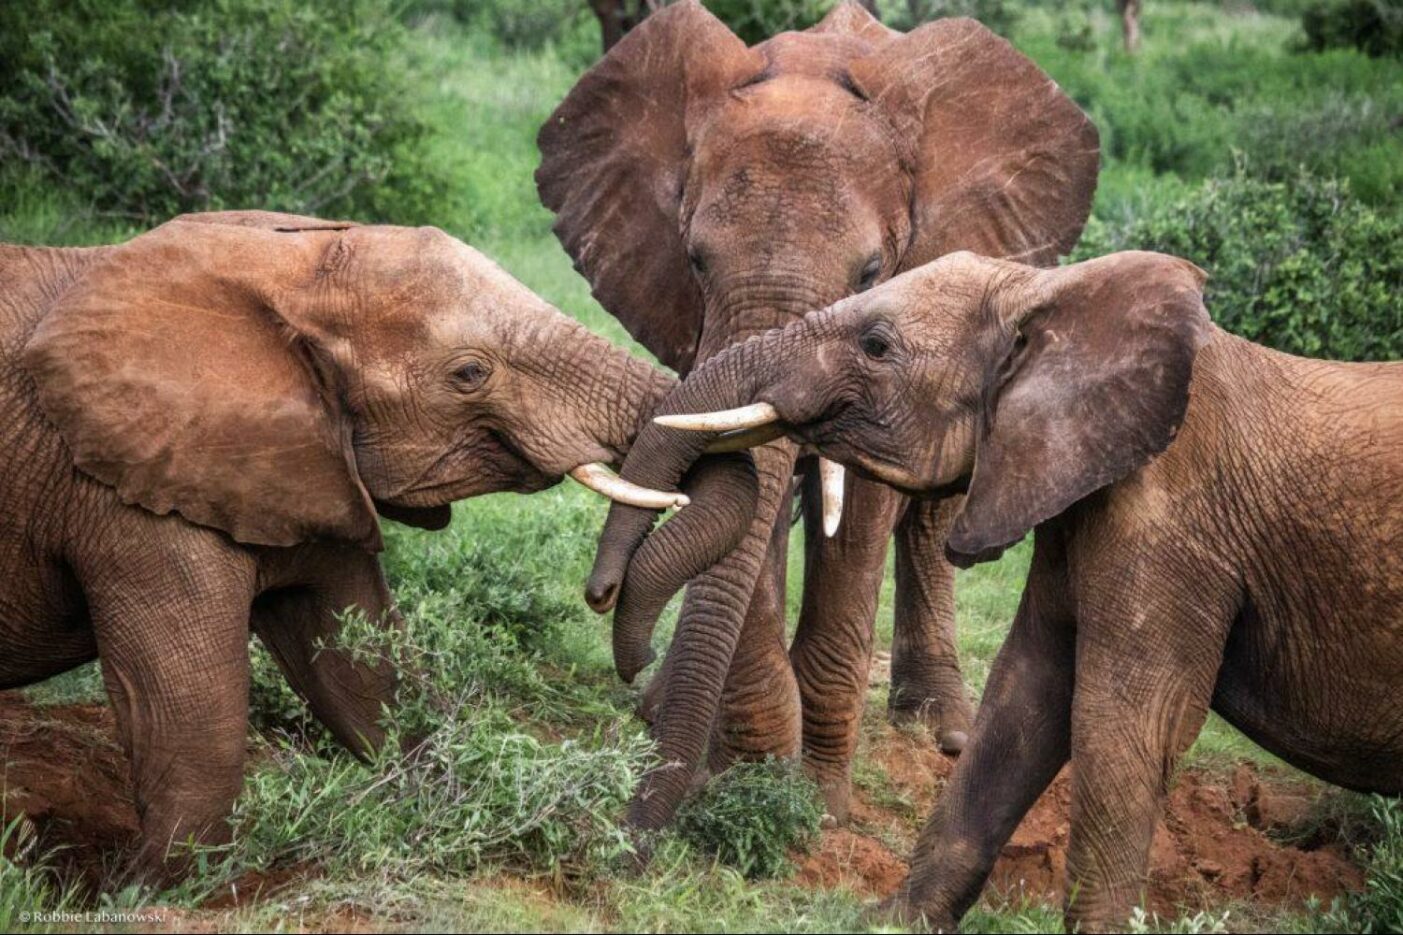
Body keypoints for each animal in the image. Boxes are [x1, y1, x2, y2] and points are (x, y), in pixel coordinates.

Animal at [0, 210, 688, 880]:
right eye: (470, 374)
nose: (603, 597)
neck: (280, 267)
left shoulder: (308, 466)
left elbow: (363, 676)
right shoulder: (127, 493)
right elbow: (189, 716)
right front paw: (137, 887)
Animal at [536, 0, 1098, 829]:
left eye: (869, 274)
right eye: (695, 260)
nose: (602, 594)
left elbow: (860, 514)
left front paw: (816, 803)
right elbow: (746, 500)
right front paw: (747, 775)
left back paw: (943, 730)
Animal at [596, 249, 1403, 932]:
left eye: (877, 346)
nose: (605, 600)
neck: (1047, 294)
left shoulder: (1174, 522)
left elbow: (1123, 728)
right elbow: (1022, 698)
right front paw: (889, 922)